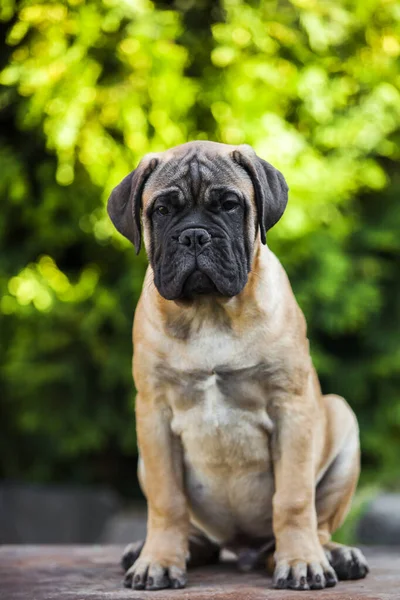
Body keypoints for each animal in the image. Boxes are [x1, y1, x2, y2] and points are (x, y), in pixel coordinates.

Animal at [107, 141, 368, 592]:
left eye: (229, 205)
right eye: (162, 210)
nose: (195, 235)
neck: (209, 311)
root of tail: (242, 548)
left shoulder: (291, 409)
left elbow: (294, 498)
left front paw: (302, 562)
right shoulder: (153, 414)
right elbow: (166, 500)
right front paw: (158, 561)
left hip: (341, 417)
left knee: (316, 526)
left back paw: (329, 555)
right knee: (196, 531)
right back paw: (163, 550)